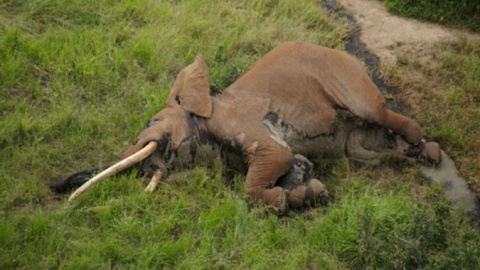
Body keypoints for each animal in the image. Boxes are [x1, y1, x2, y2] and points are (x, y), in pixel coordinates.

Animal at [51, 41, 438, 211]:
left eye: (152, 122)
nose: (56, 187)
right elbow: (294, 163)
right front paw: (307, 190)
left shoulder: (240, 122)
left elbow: (274, 160)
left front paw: (288, 198)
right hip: (355, 141)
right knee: (363, 149)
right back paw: (415, 154)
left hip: (346, 75)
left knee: (374, 111)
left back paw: (426, 151)